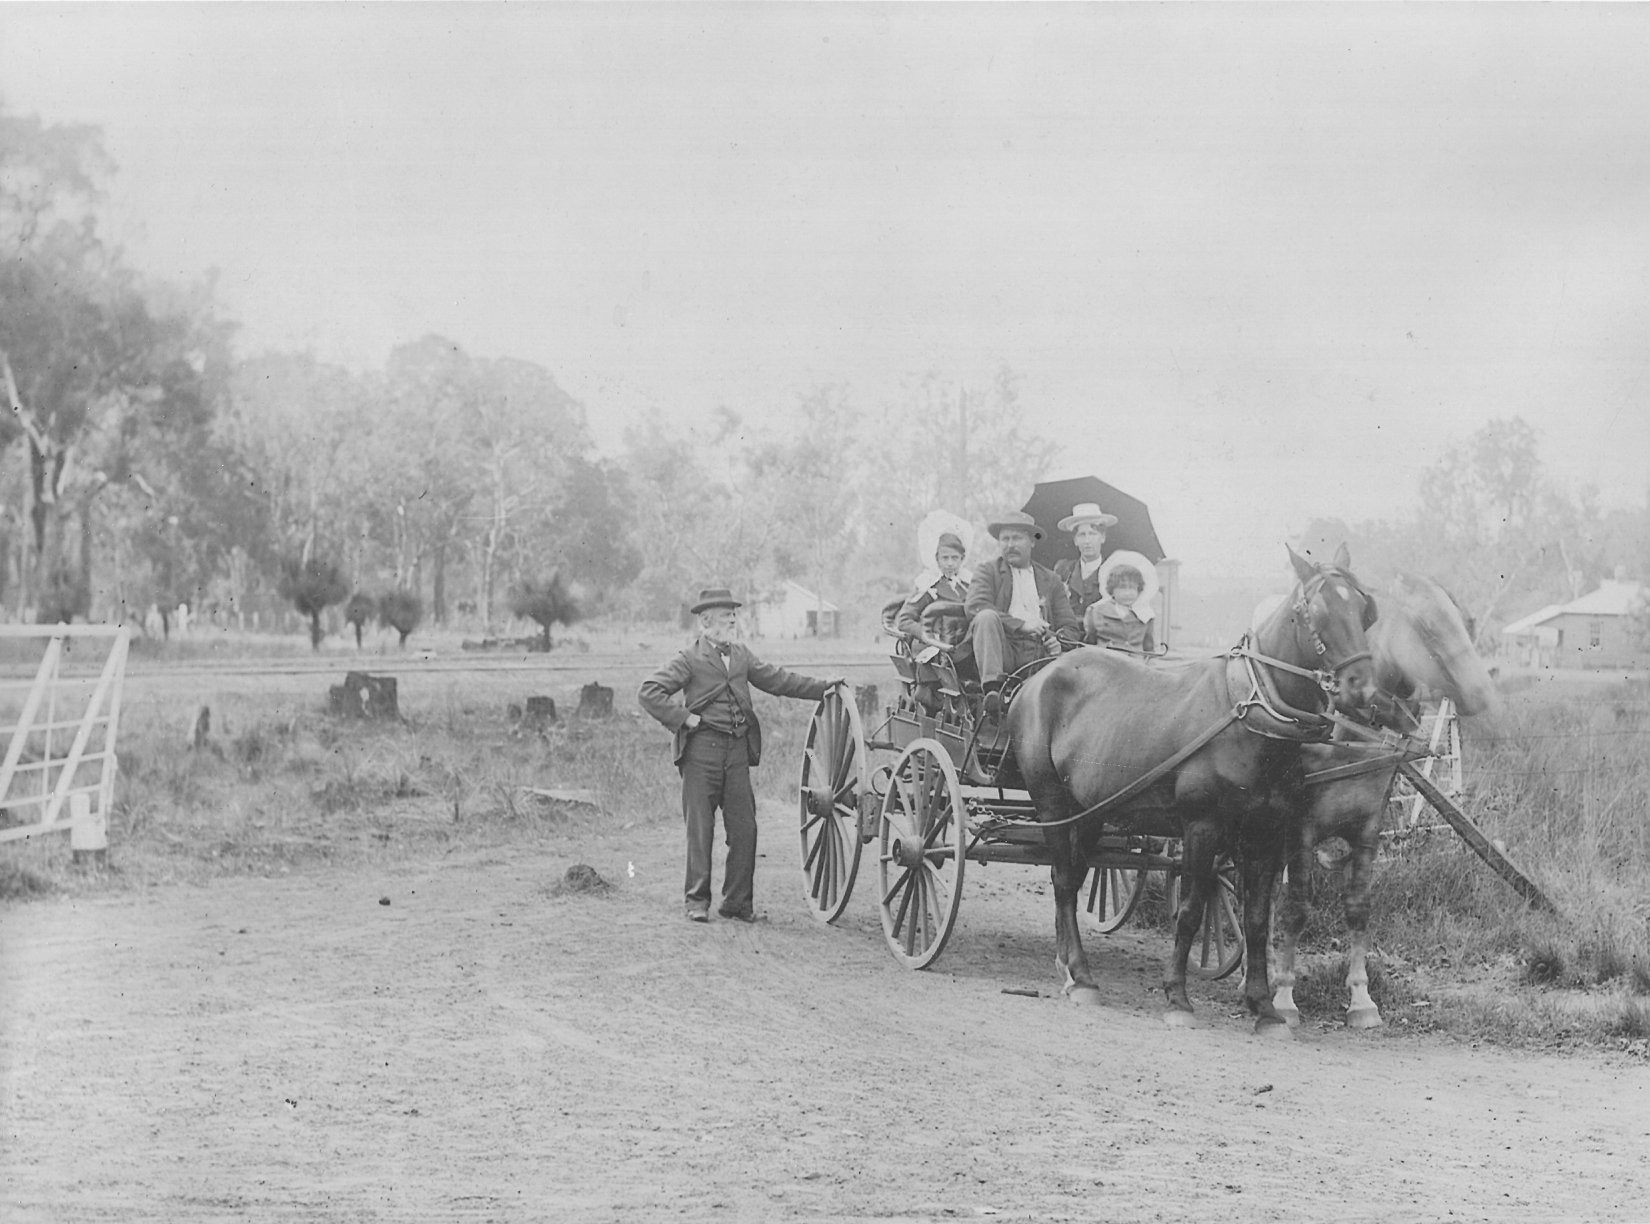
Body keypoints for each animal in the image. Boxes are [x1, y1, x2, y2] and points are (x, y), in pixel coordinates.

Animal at [1003, 547, 1379, 1035]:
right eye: (1317, 611)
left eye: (1365, 610)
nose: (1364, 690)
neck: (1249, 714)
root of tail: (1039, 676)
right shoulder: (1202, 827)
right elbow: (1190, 912)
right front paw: (1178, 998)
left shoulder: (1266, 834)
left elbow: (1257, 920)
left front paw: (1265, 1007)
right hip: (1052, 803)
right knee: (1065, 881)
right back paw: (1081, 976)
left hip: (1090, 811)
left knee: (1067, 877)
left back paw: (1067, 964)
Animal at [1267, 570, 1504, 1029]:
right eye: (1427, 627)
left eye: (1464, 617)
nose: (1483, 695)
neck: (1349, 736)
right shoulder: (1299, 831)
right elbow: (1295, 908)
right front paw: (1283, 995)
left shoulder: (1367, 830)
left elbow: (1358, 908)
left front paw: (1361, 998)